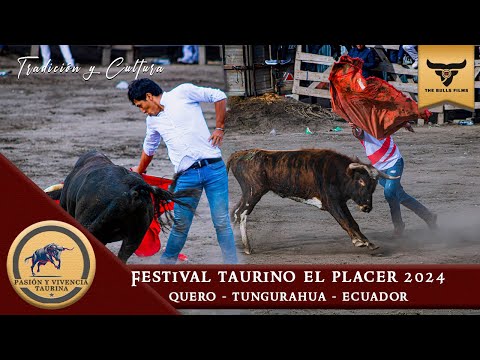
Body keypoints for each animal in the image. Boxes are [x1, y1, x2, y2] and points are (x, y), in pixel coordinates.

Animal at [227, 148, 400, 255]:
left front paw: (368, 242)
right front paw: (361, 242)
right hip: (253, 193)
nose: (366, 207)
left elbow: (352, 222)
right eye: (361, 181)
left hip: (248, 194)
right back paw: (247, 248)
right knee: (241, 214)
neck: (337, 173)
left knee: (234, 212)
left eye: (374, 185)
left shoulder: (340, 202)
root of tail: (240, 154)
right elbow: (345, 221)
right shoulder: (331, 202)